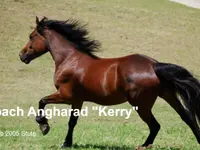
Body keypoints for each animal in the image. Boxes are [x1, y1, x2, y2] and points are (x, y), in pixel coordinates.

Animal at [19, 16, 200, 149]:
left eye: (31, 36)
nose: (21, 55)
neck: (69, 60)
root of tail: (154, 65)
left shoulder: (66, 96)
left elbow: (42, 101)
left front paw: (44, 126)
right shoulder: (78, 100)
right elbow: (72, 122)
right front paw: (67, 143)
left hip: (141, 104)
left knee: (155, 125)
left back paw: (143, 146)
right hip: (168, 95)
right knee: (187, 117)